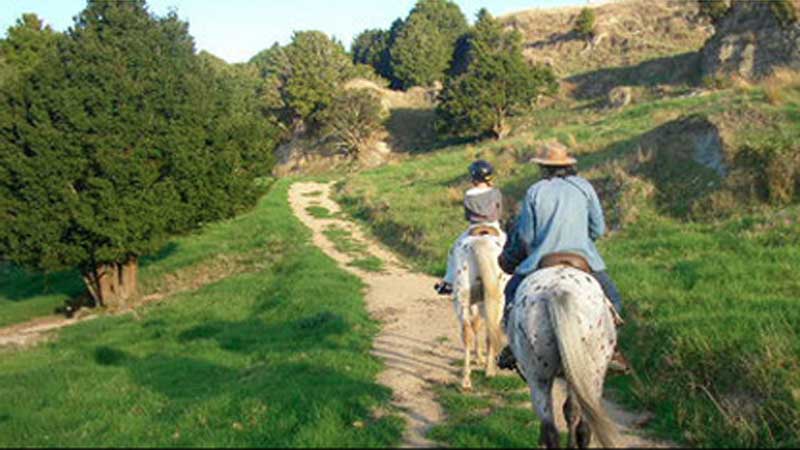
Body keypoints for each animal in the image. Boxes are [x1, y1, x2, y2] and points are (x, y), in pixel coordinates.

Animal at [454, 236, 510, 390]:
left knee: (467, 333)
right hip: (497, 302)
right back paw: (489, 371)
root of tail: (478, 244)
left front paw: (478, 358)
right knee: (491, 332)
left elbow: (476, 327)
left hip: (463, 299)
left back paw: (466, 381)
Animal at [506, 266, 620, 448]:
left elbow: (569, 410)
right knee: (578, 424)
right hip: (590, 375)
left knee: (552, 427)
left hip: (539, 378)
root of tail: (558, 291)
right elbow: (571, 410)